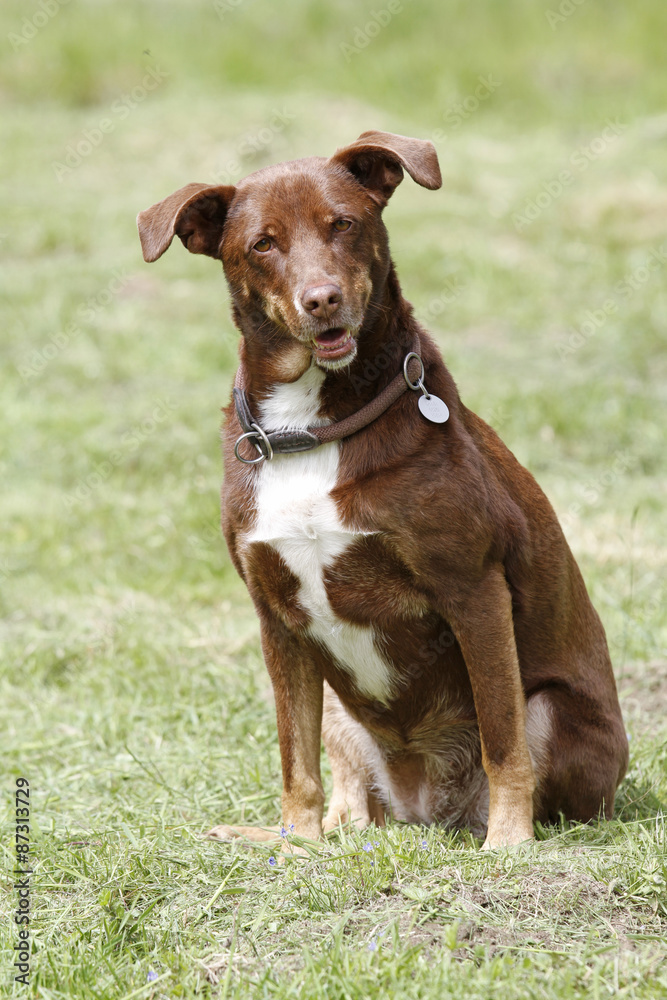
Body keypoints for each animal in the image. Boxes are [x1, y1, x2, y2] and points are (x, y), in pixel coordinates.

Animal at [138, 131, 628, 844]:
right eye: (263, 244)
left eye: (343, 224)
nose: (321, 299)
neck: (311, 426)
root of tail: (429, 814)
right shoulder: (275, 616)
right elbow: (295, 760)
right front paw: (296, 844)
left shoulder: (473, 588)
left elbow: (504, 741)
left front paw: (510, 844)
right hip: (343, 712)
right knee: (347, 800)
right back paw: (301, 837)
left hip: (551, 708)